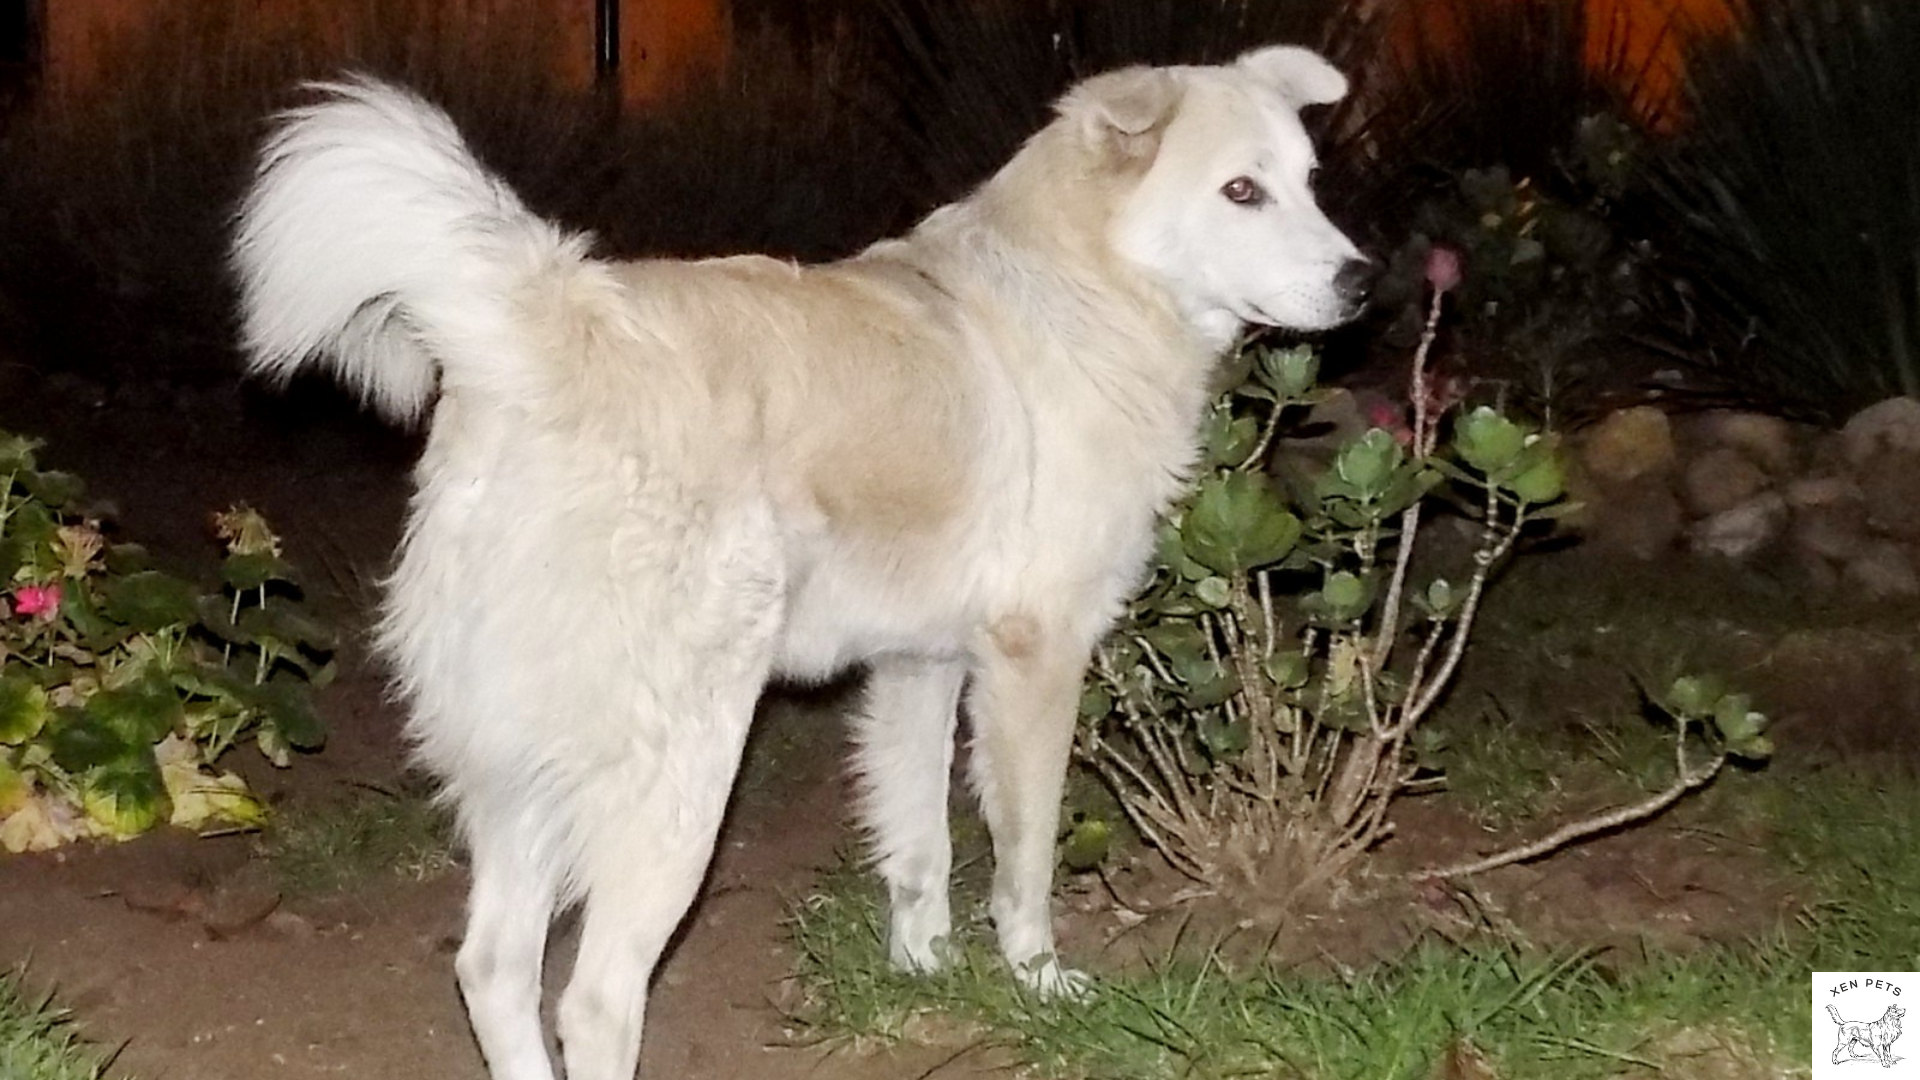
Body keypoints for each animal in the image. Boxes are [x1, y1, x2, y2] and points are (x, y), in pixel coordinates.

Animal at [232, 48, 1374, 1076]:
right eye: (1241, 191)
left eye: (1309, 182)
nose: (1364, 281)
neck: (1084, 289)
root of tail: (547, 338)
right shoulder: (1033, 659)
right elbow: (1024, 856)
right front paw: (1037, 981)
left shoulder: (919, 665)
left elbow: (919, 847)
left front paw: (926, 974)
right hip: (679, 774)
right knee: (594, 1001)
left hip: (524, 770)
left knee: (494, 968)